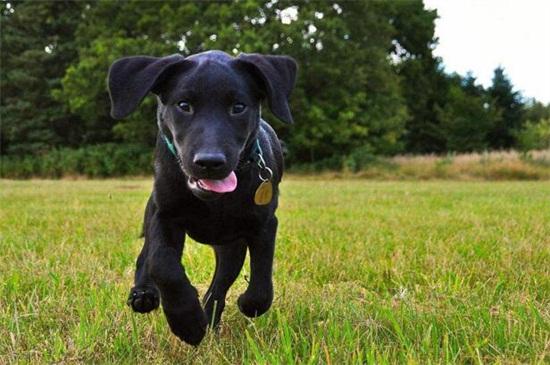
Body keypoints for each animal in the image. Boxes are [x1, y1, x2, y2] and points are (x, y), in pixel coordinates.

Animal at [107, 51, 298, 344]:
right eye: (184, 105)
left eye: (238, 107)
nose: (210, 162)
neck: (213, 202)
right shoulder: (164, 214)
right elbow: (162, 264)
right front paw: (186, 321)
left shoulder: (264, 224)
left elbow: (261, 286)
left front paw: (239, 306)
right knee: (146, 255)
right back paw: (145, 294)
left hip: (231, 246)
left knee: (220, 284)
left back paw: (210, 316)